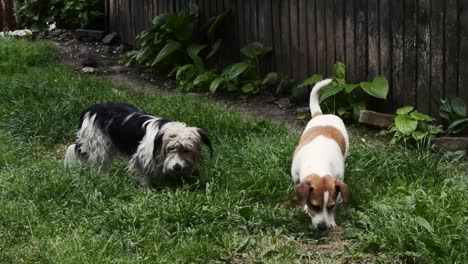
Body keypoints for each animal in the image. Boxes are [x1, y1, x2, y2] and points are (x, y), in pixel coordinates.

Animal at [63, 102, 213, 187]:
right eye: (171, 148)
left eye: (187, 150)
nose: (177, 167)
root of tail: (89, 109)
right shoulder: (141, 158)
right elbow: (144, 175)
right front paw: (148, 190)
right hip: (99, 145)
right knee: (100, 164)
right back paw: (103, 178)